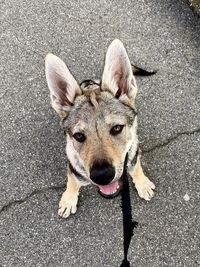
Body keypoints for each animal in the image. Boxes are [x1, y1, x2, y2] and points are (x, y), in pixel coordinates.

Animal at [45, 39, 155, 220]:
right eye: (79, 136)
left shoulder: (132, 154)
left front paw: (142, 183)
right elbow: (72, 181)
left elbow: (136, 166)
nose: (102, 176)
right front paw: (69, 199)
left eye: (117, 128)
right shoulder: (72, 166)